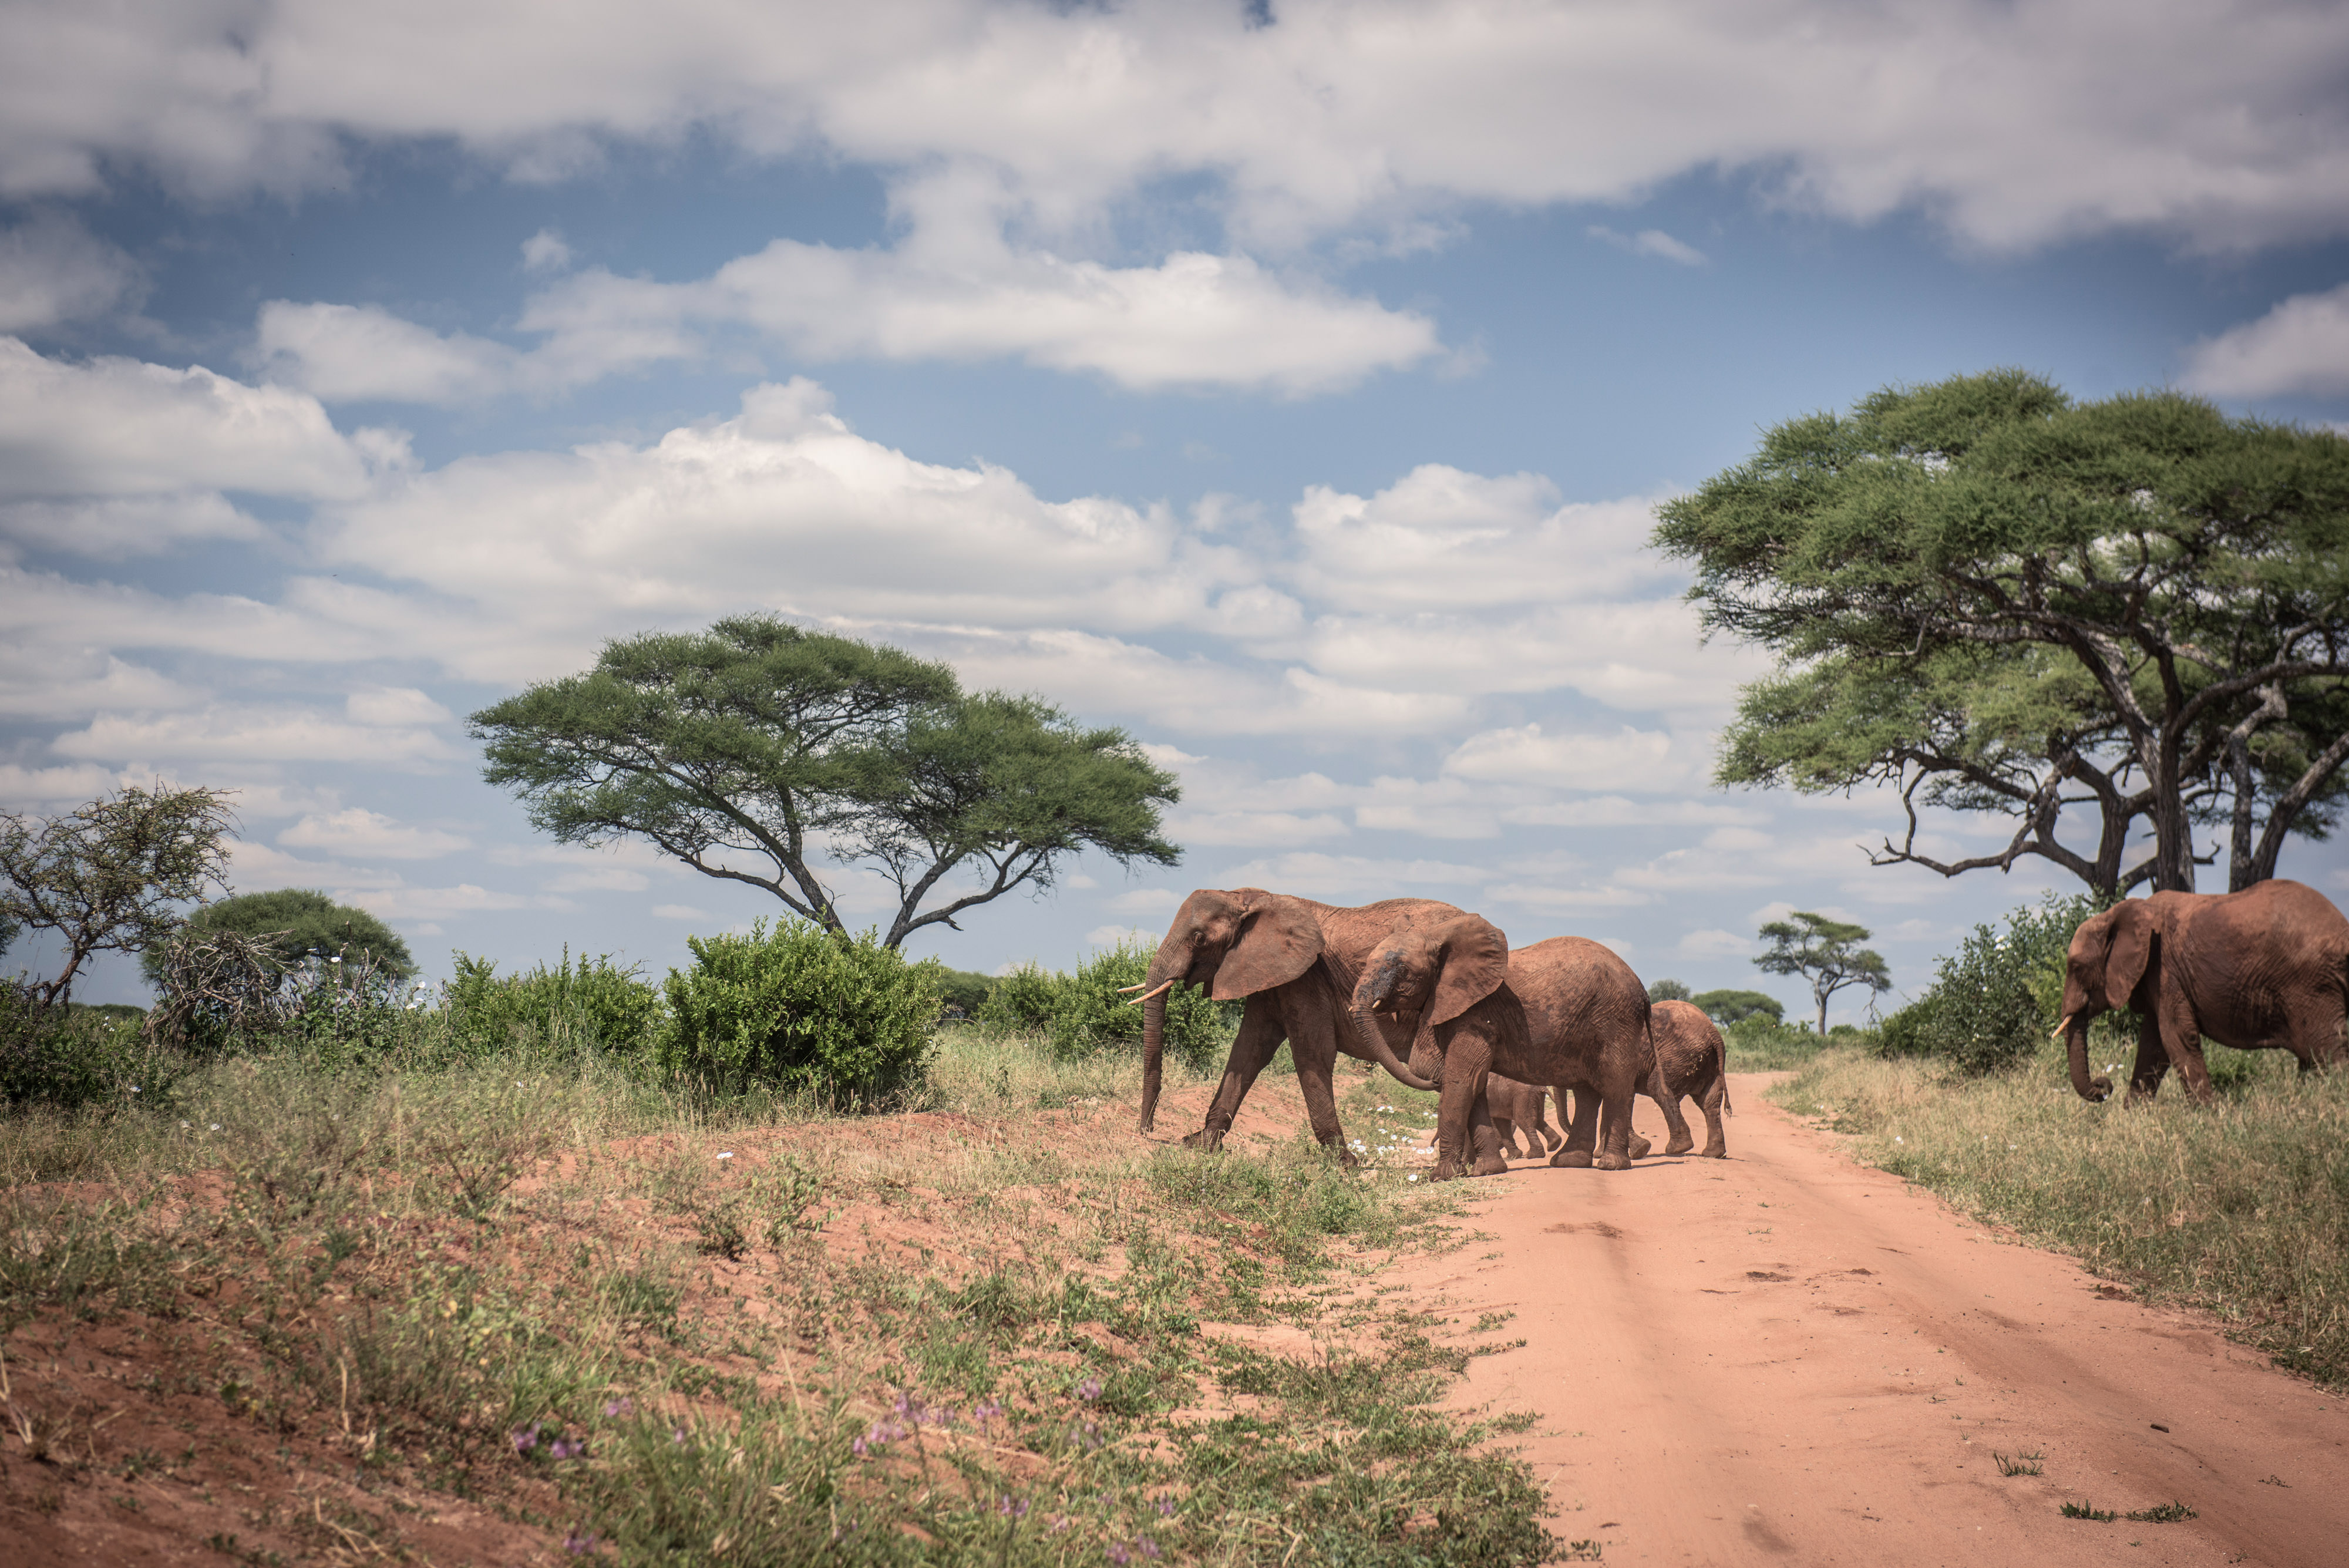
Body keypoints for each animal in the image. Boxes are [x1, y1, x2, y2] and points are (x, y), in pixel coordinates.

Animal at [1132, 887, 1456, 1159]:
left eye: (1199, 938)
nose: (1147, 1131)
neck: (1250, 897)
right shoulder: (1268, 974)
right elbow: (1248, 1051)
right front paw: (1201, 1146)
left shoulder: (1307, 977)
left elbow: (1312, 1054)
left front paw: (1345, 1164)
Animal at [1353, 910, 1663, 1183]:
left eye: (1403, 970)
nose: (1432, 1080)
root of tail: (1643, 990)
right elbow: (1475, 1084)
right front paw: (1487, 1171)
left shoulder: (1475, 1014)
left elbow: (1462, 1080)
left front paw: (1440, 1177)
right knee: (1587, 1090)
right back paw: (1569, 1161)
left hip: (1615, 1017)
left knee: (1614, 1083)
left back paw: (1611, 1165)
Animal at [2048, 868, 2349, 1103]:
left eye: (2076, 967)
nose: (2104, 1087)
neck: (2116, 913)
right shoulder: (2156, 975)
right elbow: (2152, 1046)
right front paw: (2129, 1119)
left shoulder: (2165, 969)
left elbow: (2177, 1037)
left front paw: (2208, 1117)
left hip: (2310, 987)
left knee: (2327, 1052)